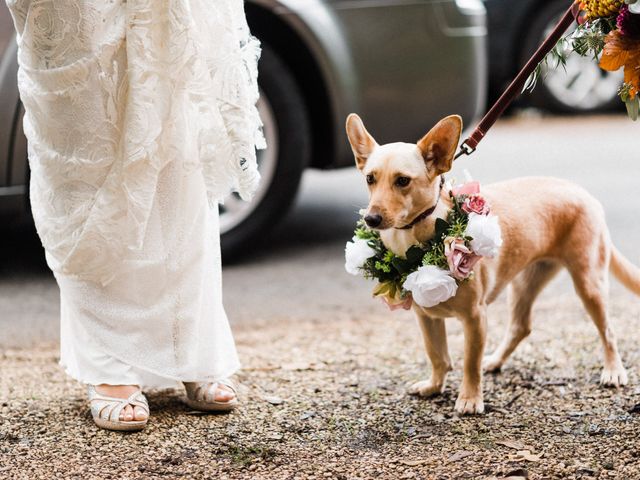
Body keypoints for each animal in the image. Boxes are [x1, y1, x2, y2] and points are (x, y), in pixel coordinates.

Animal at [344, 113, 640, 416]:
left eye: (403, 180)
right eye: (370, 178)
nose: (371, 219)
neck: (416, 241)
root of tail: (584, 193)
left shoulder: (475, 318)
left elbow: (469, 363)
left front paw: (470, 398)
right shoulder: (426, 318)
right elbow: (437, 355)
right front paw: (435, 385)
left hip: (589, 285)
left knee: (608, 331)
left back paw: (613, 370)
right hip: (523, 284)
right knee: (521, 327)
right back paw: (496, 360)